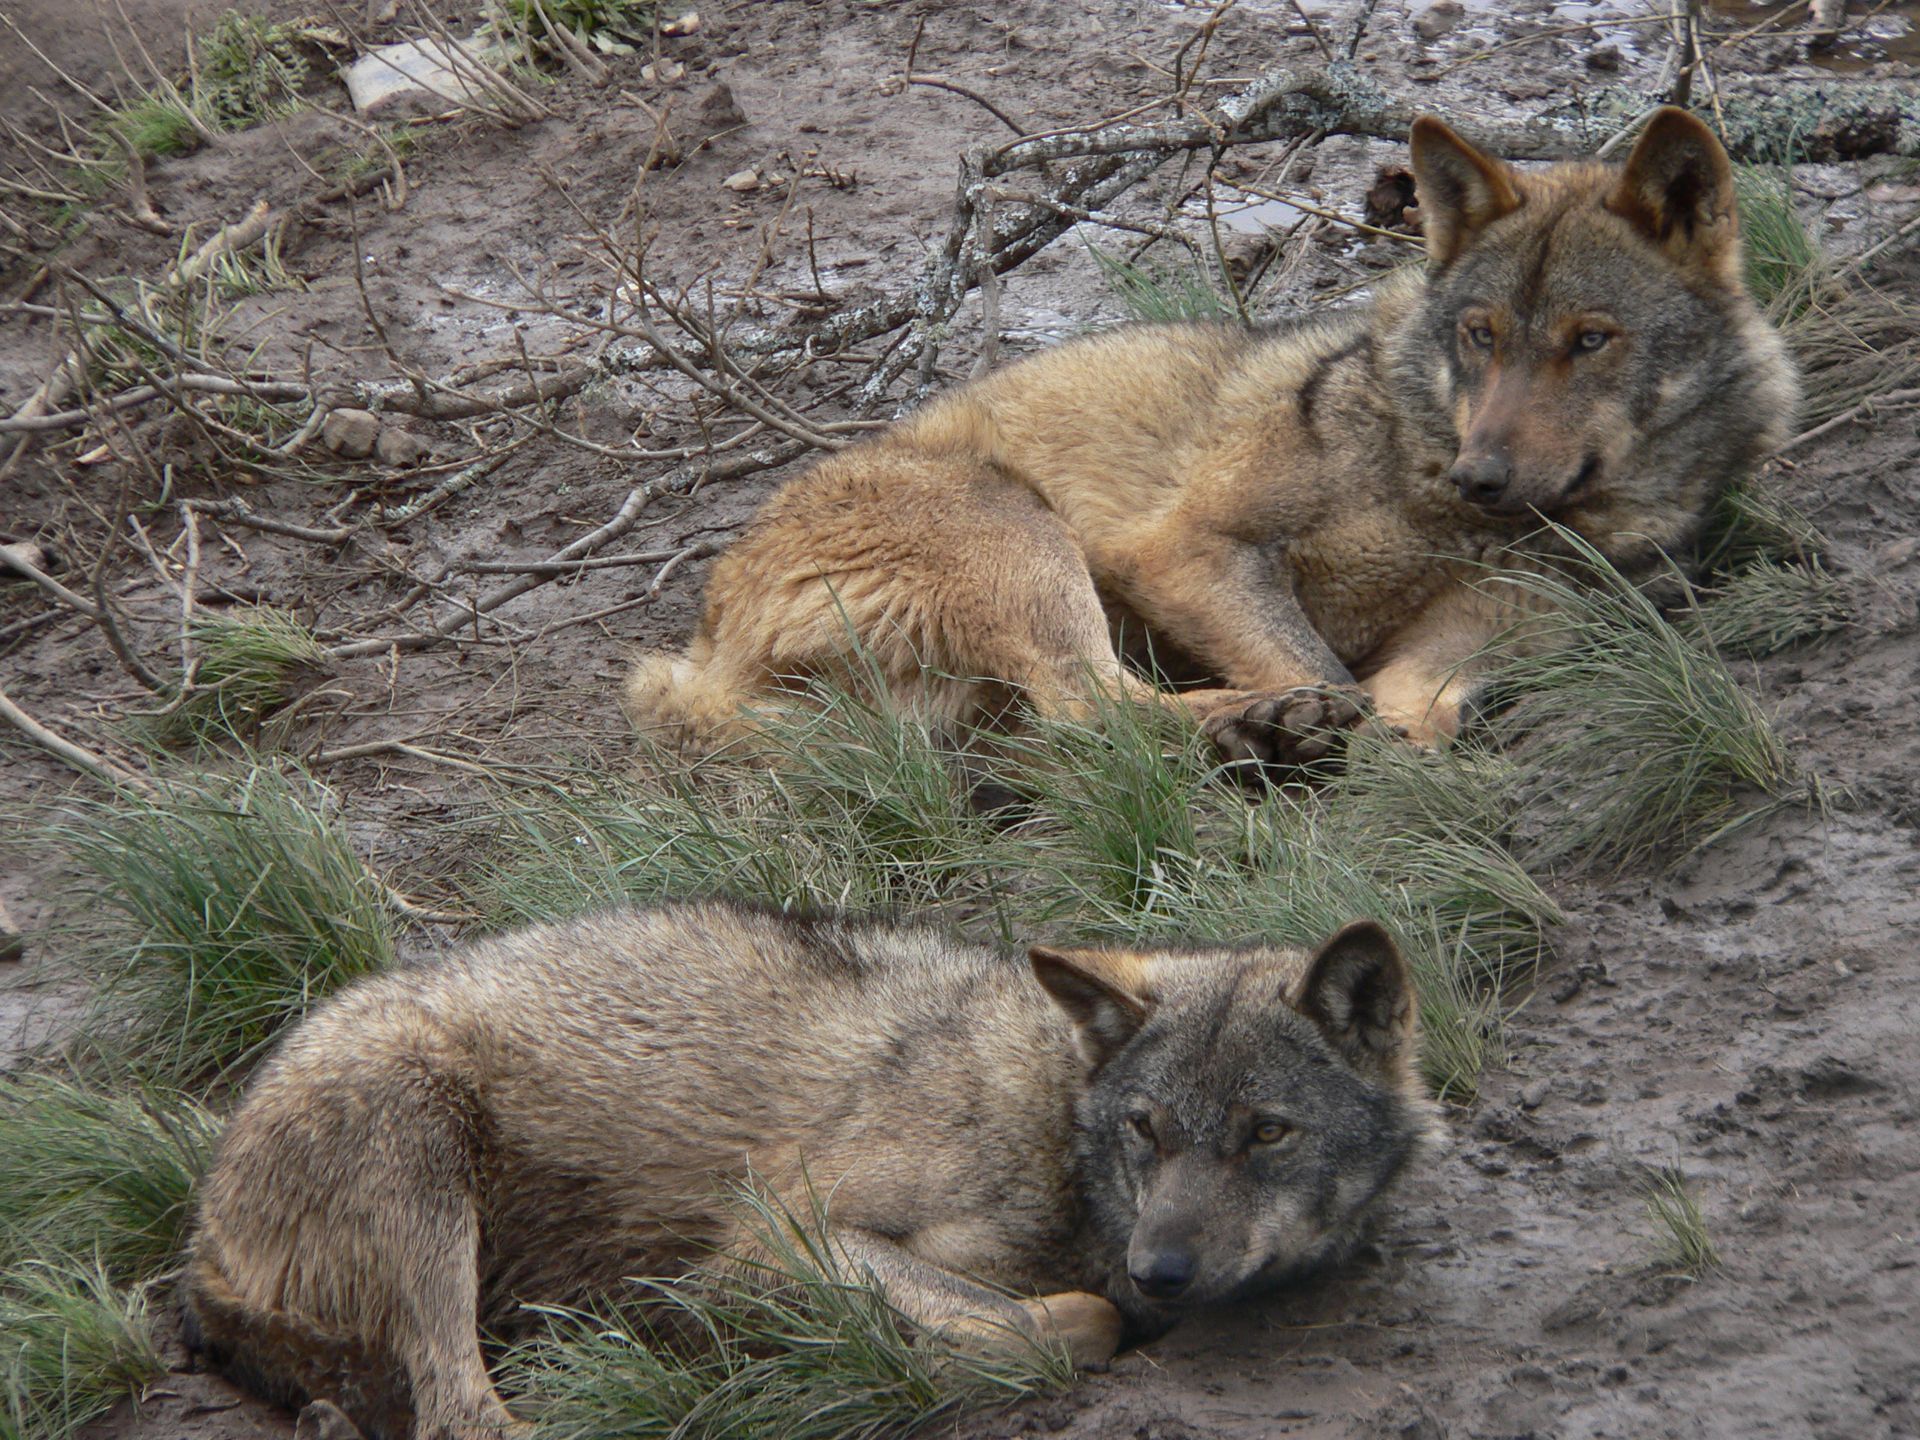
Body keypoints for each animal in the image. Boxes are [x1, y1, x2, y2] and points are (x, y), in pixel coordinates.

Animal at [181, 902, 1440, 1440]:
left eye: (1265, 1134)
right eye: (1148, 1129)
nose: (1164, 1269)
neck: (1054, 1124)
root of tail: (197, 1241)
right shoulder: (775, 1241)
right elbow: (1066, 1323)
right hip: (423, 1150)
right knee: (458, 1415)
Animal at [623, 108, 1798, 766]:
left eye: (1590, 339)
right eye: (1483, 334)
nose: (1484, 476)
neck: (1426, 465)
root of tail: (703, 648)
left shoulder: (1520, 610)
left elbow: (1413, 691)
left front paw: (1409, 750)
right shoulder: (1184, 550)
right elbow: (1325, 666)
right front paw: (1333, 727)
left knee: (1070, 729)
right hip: (1021, 540)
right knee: (1096, 710)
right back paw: (1260, 727)